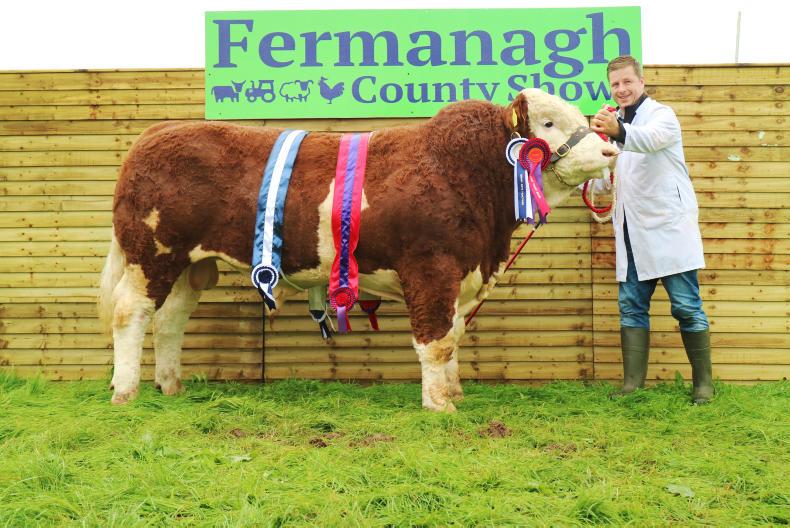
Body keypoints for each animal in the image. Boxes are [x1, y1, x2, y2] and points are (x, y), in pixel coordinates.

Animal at [98, 88, 618, 411]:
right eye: (548, 122)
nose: (610, 152)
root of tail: (154, 133)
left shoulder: (462, 272)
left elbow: (453, 336)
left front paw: (454, 394)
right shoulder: (431, 267)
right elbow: (435, 339)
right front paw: (438, 405)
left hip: (192, 264)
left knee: (170, 320)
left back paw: (172, 386)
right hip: (152, 252)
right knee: (129, 312)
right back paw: (125, 391)